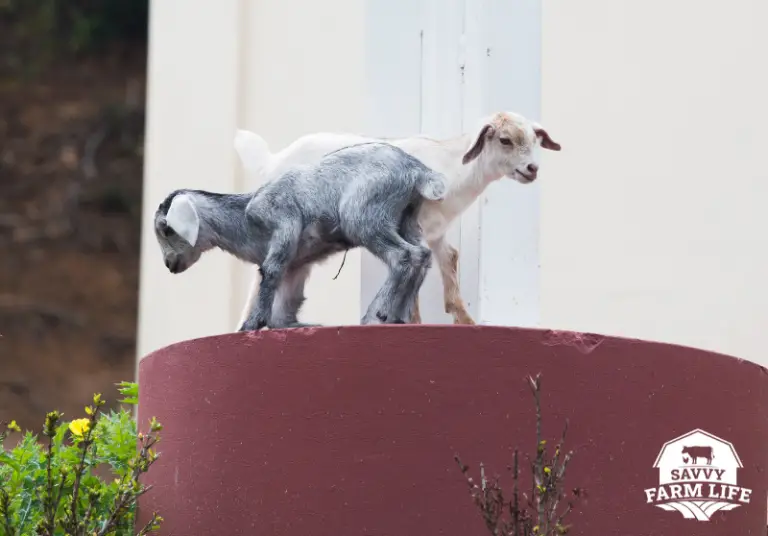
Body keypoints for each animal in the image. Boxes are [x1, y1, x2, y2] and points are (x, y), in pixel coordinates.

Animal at [153, 142, 447, 330]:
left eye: (166, 228)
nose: (168, 264)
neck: (243, 220)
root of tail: (417, 171)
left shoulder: (282, 219)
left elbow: (270, 270)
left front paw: (251, 324)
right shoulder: (296, 263)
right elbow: (287, 298)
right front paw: (290, 324)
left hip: (364, 215)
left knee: (403, 255)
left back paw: (377, 314)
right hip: (405, 217)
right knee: (422, 254)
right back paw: (400, 316)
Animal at [234, 111, 561, 326]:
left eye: (534, 140)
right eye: (505, 140)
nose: (532, 169)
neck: (453, 166)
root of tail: (273, 160)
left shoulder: (437, 232)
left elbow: (448, 261)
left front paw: (466, 320)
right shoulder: (416, 226)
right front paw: (410, 321)